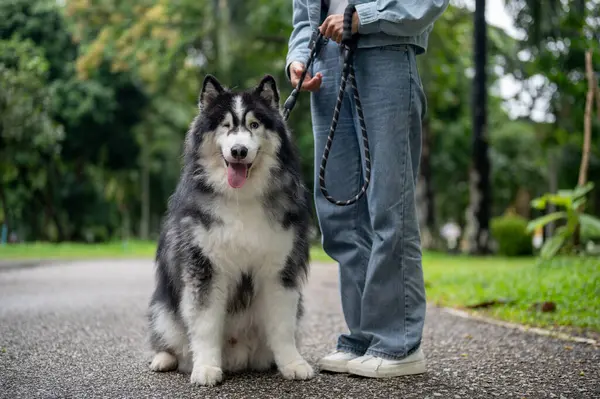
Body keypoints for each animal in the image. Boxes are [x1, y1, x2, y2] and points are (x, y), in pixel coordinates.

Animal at [146, 75, 314, 388]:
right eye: (225, 125)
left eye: (254, 124)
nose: (239, 151)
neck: (242, 197)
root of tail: (239, 357)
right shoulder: (204, 268)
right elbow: (205, 324)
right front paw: (206, 368)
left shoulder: (280, 270)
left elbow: (282, 325)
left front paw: (293, 364)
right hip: (163, 309)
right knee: (170, 337)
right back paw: (164, 359)